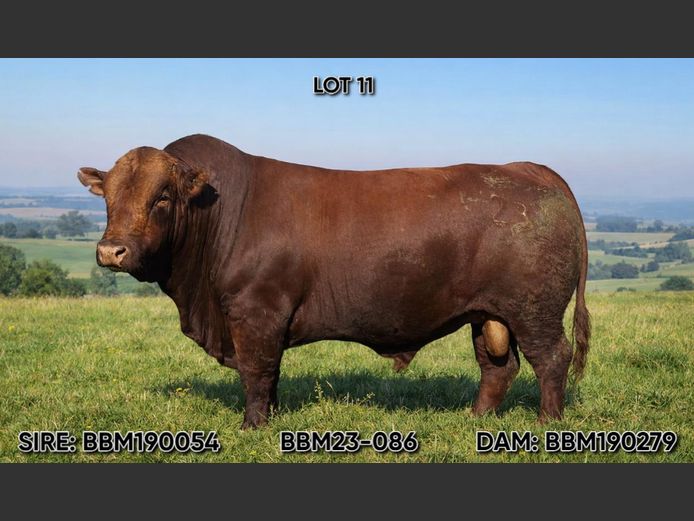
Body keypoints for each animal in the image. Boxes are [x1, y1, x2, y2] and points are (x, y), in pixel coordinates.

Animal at [78, 134, 590, 429]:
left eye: (162, 197)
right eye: (109, 197)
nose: (111, 251)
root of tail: (531, 169)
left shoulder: (256, 311)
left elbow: (256, 372)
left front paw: (252, 427)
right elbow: (270, 375)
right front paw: (270, 420)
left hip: (534, 310)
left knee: (551, 358)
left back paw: (547, 423)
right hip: (487, 313)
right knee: (497, 366)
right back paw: (474, 419)